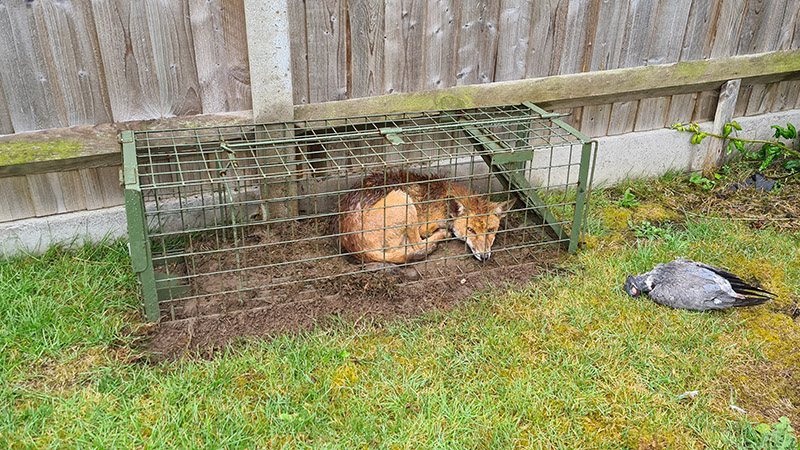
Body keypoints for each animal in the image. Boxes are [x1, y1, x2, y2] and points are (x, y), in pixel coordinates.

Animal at [336, 171, 512, 264]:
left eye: (491, 230)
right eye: (470, 229)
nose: (484, 257)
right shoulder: (423, 225)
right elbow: (424, 236)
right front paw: (442, 231)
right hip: (403, 198)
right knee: (417, 246)